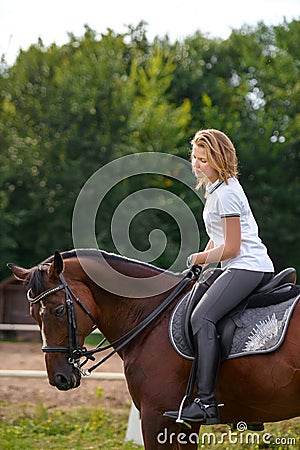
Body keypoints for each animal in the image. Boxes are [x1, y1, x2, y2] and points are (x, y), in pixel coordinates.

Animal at [8, 248, 300, 448]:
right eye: (32, 315)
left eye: (58, 310)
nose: (59, 378)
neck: (152, 316)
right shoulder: (185, 425)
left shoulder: (156, 416)